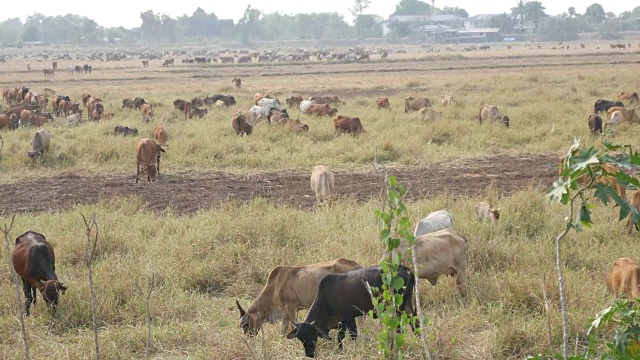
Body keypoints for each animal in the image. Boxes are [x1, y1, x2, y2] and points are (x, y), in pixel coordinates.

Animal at [234, 258, 362, 336]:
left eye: (245, 325)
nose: (249, 337)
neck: (275, 286)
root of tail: (356, 265)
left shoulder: (292, 307)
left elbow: (292, 326)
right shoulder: (285, 313)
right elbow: (283, 330)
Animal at [286, 264, 418, 358]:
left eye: (313, 335)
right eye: (300, 338)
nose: (309, 354)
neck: (327, 297)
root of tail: (406, 269)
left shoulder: (349, 318)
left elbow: (353, 335)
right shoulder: (341, 323)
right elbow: (340, 338)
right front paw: (340, 351)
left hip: (400, 305)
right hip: (406, 303)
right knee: (414, 321)